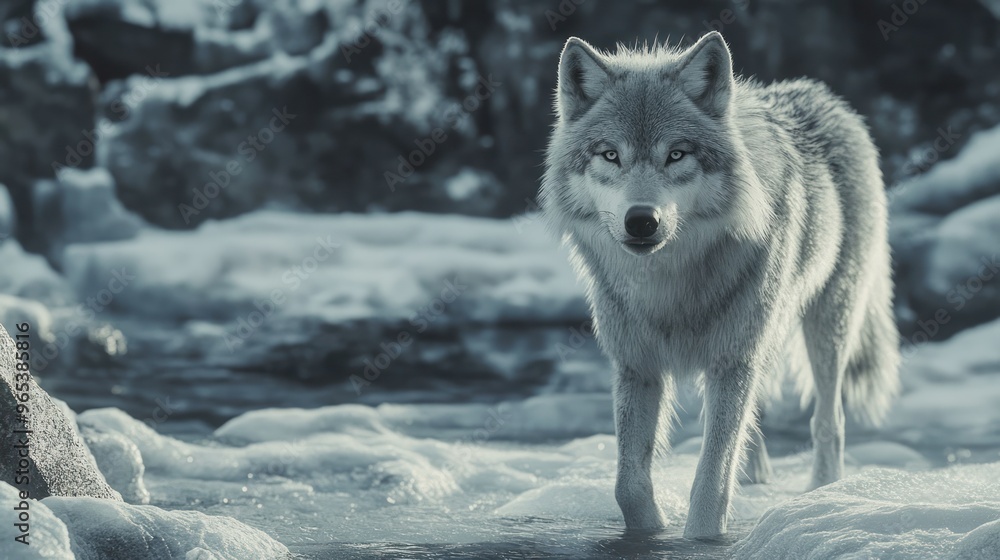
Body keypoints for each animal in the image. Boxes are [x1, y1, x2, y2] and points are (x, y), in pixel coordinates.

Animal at [539, 31, 900, 538]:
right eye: (610, 154)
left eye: (676, 154)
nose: (642, 221)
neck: (668, 286)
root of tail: (825, 96)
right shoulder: (637, 366)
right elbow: (628, 486)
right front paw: (651, 532)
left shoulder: (731, 361)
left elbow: (711, 482)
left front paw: (702, 536)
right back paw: (756, 476)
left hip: (826, 326)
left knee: (829, 420)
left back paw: (822, 491)